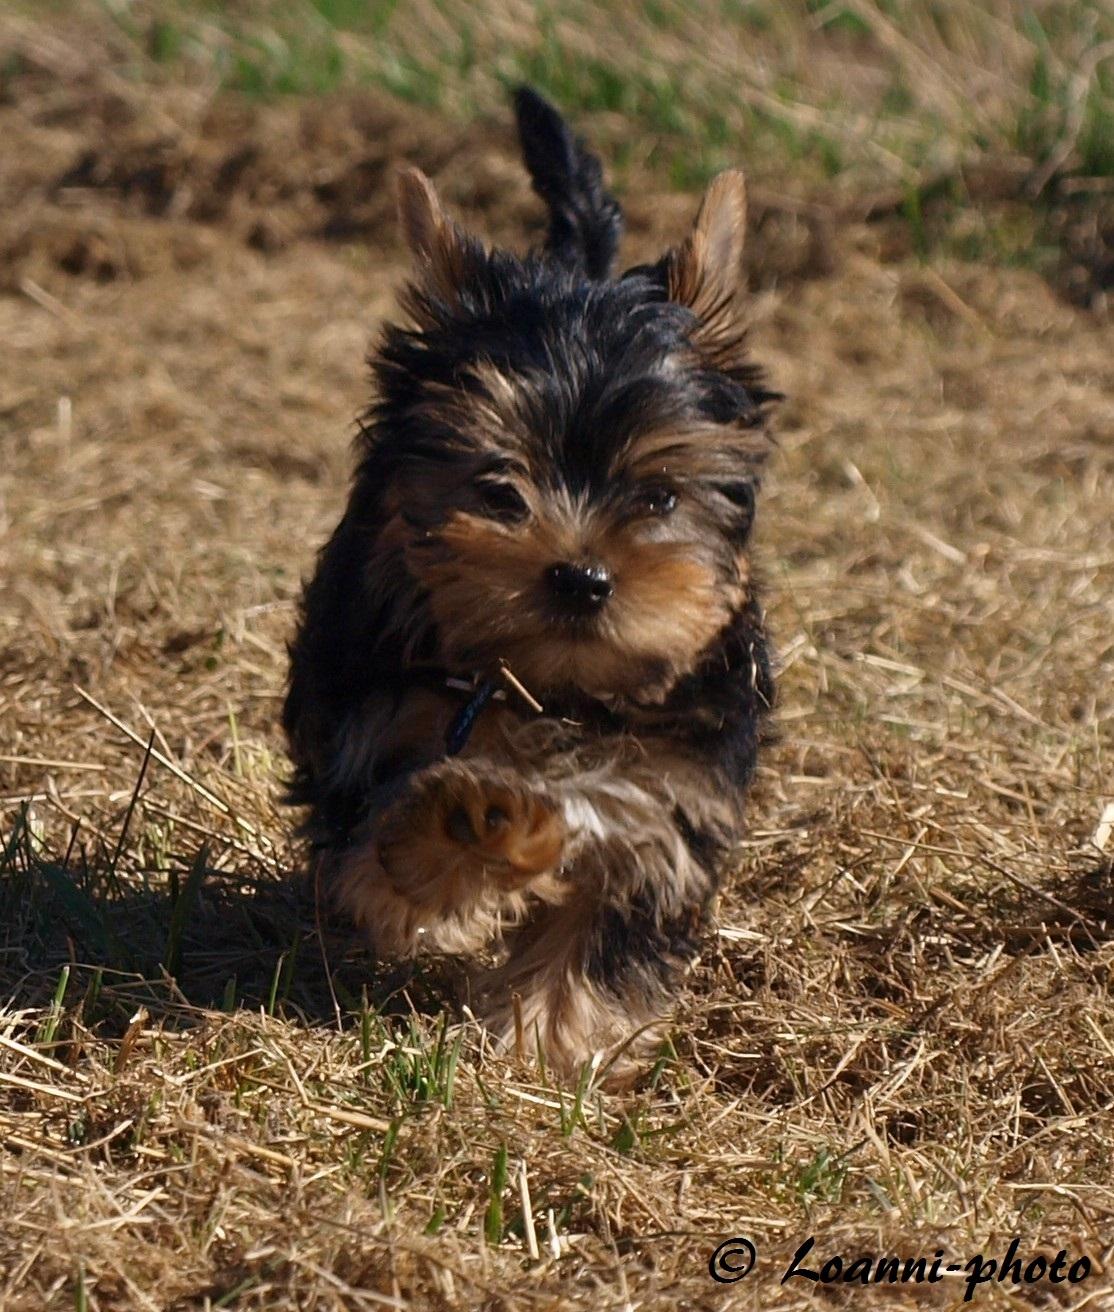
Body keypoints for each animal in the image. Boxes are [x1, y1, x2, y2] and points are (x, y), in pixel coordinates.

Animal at [282, 87, 776, 1081]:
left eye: (660, 495)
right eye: (497, 489)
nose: (581, 576)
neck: (553, 683)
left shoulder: (674, 791)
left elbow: (602, 913)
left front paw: (544, 1043)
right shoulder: (368, 732)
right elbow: (384, 852)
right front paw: (478, 819)